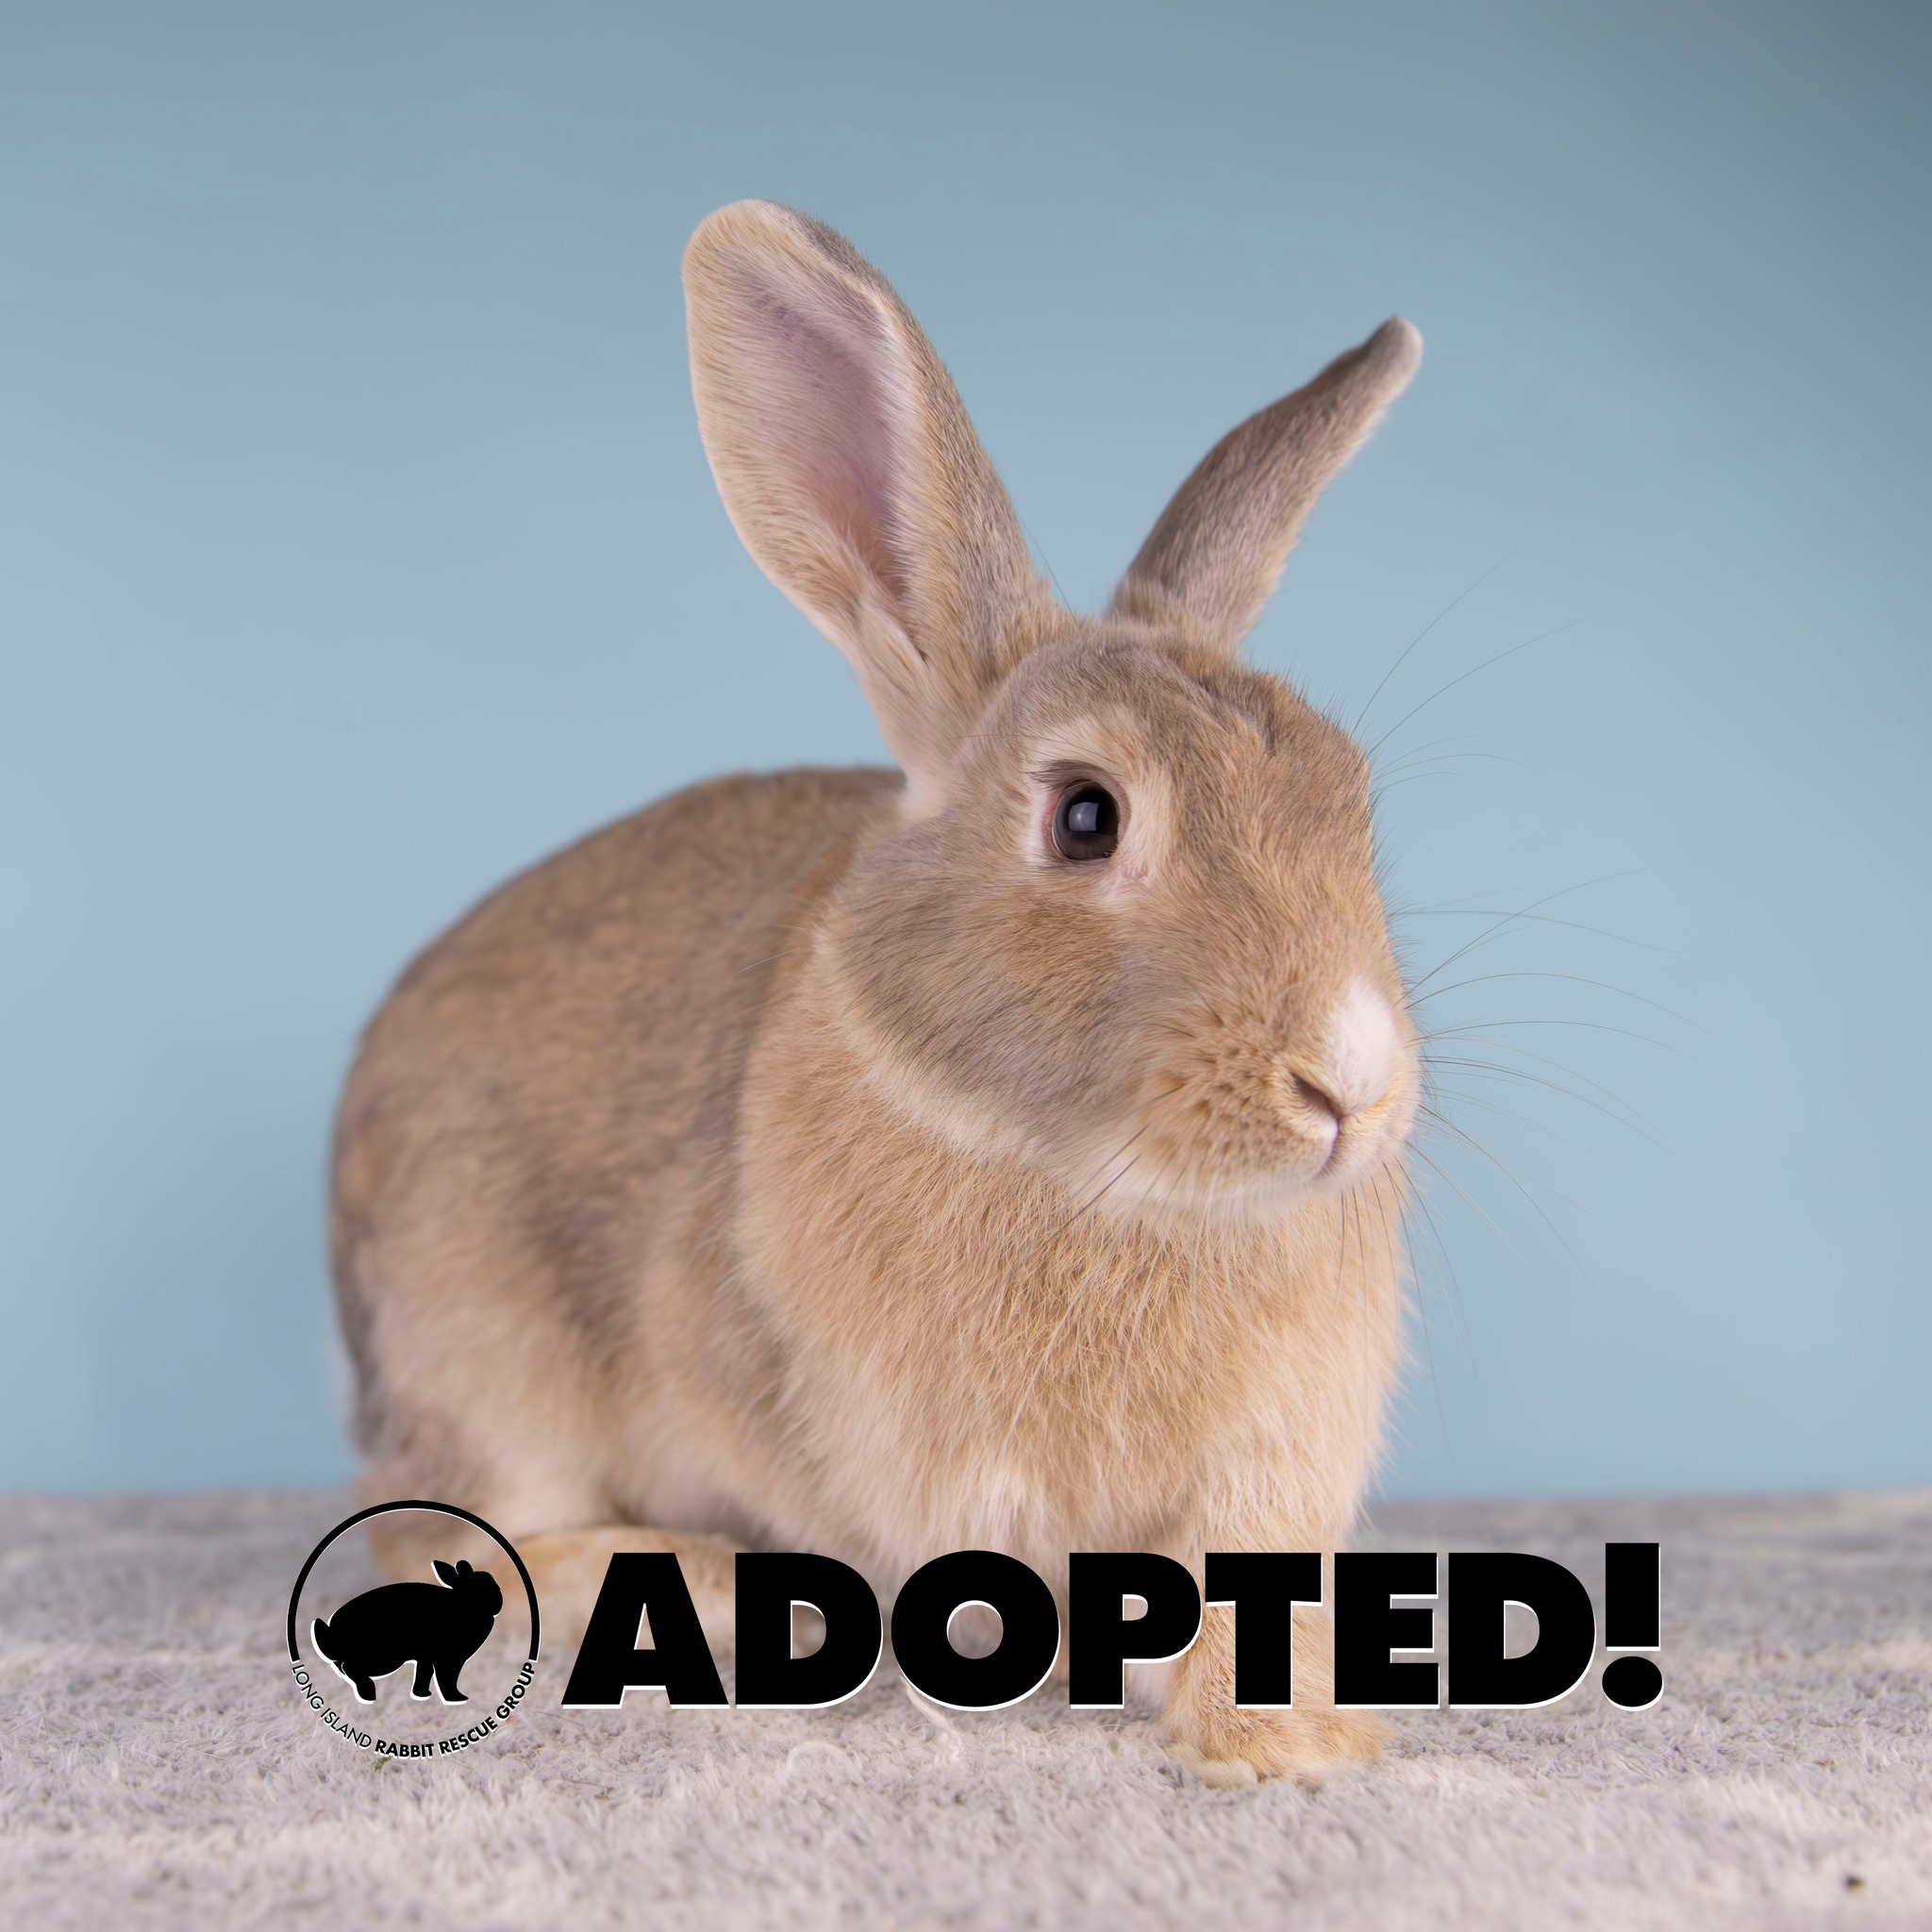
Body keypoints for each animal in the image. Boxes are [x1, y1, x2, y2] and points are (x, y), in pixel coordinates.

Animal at [311, 1557, 504, 1704]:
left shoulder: (426, 1659)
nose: (498, 1601)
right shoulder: (449, 1660)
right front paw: (457, 1698)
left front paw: (423, 1695)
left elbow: (424, 1675)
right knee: (350, 1667)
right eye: (480, 1587)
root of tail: (333, 1632)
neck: (466, 1604)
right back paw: (368, 1694)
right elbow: (446, 1680)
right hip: (383, 1658)